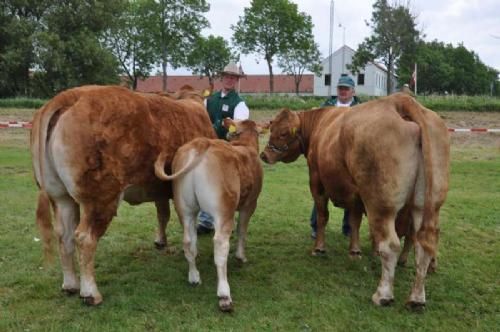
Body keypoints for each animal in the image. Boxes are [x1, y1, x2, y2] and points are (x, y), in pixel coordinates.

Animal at [30, 84, 215, 304]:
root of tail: (71, 95)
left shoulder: (159, 188)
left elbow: (163, 214)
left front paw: (160, 241)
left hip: (60, 196)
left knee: (64, 236)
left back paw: (70, 285)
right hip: (101, 198)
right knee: (85, 238)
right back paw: (90, 293)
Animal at [260, 92, 452, 308]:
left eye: (283, 133)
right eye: (271, 128)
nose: (264, 155)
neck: (321, 124)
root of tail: (399, 99)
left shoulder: (317, 182)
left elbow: (323, 216)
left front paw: (319, 248)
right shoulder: (355, 194)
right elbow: (354, 221)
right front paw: (355, 251)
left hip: (381, 204)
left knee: (391, 245)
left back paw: (383, 295)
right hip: (426, 205)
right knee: (422, 245)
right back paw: (417, 298)